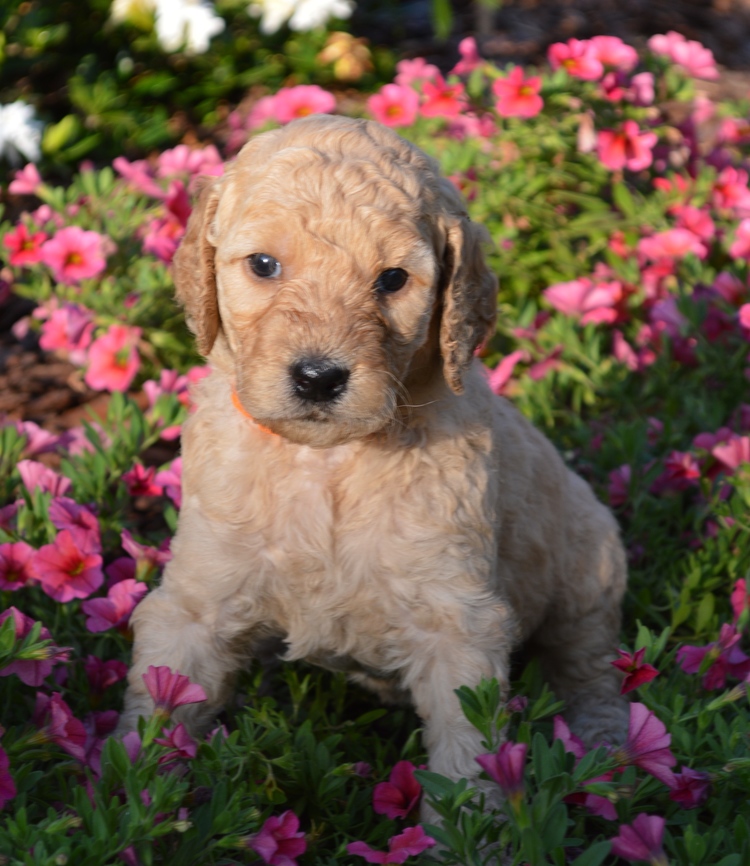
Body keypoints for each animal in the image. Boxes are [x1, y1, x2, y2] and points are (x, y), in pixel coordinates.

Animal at [122, 115, 628, 804]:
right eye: (263, 264)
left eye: (393, 279)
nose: (318, 377)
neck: (326, 461)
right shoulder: (199, 599)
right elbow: (161, 703)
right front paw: (129, 796)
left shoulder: (457, 623)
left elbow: (468, 760)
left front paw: (471, 824)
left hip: (589, 563)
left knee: (587, 661)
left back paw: (605, 747)